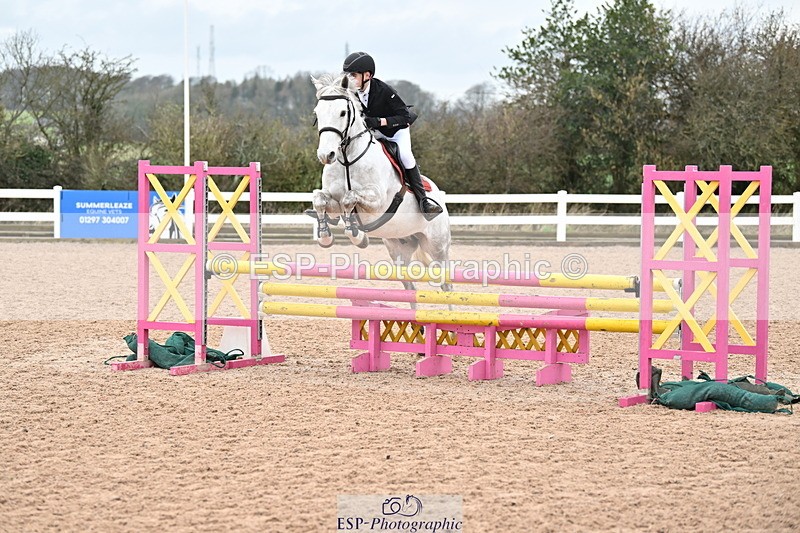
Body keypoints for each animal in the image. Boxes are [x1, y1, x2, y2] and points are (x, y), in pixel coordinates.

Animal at [309, 73, 453, 295]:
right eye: (317, 113)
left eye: (342, 112)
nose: (326, 155)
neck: (348, 160)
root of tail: (439, 195)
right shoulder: (332, 200)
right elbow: (320, 199)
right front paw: (326, 236)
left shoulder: (378, 203)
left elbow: (350, 198)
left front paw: (357, 236)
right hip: (398, 248)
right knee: (409, 285)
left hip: (437, 246)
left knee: (446, 282)